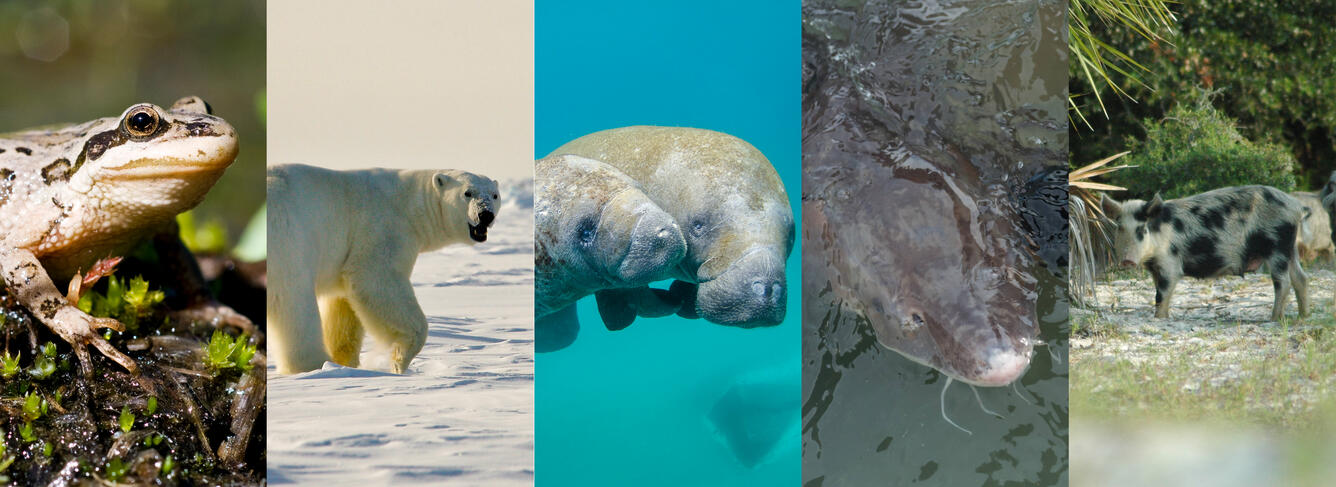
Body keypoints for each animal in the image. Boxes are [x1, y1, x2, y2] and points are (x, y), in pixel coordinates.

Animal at [267, 164, 500, 374]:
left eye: (494, 195)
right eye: (467, 193)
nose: (486, 214)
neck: (409, 202)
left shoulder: (346, 253)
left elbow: (344, 306)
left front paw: (346, 362)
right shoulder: (383, 229)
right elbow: (376, 280)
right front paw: (400, 359)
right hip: (289, 240)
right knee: (295, 303)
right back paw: (311, 364)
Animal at [1101, 185, 1309, 321]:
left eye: (1142, 230)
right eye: (1120, 227)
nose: (1127, 260)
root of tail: (1296, 206)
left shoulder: (1170, 264)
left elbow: (1161, 295)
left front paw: (1159, 318)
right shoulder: (1155, 268)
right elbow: (1159, 294)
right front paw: (1163, 317)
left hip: (1278, 245)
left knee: (1283, 282)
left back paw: (1273, 319)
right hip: (1290, 248)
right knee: (1301, 278)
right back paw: (1302, 316)